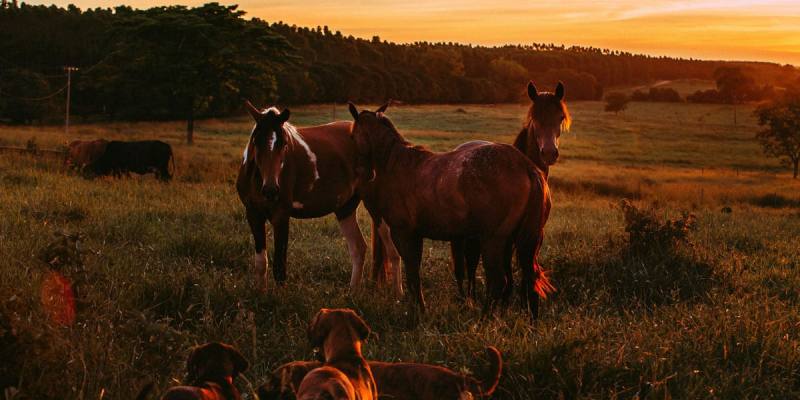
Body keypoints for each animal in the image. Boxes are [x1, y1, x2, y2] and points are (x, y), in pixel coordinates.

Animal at [236, 101, 370, 292]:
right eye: (256, 141)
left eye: (284, 143)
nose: (271, 190)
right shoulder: (253, 214)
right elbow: (261, 263)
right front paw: (260, 294)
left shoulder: (281, 216)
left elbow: (279, 267)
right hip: (345, 208)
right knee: (358, 248)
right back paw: (352, 292)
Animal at [350, 102, 556, 318]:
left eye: (353, 136)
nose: (363, 173)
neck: (397, 164)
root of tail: (526, 166)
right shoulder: (415, 235)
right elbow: (415, 271)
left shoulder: (404, 234)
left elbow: (413, 273)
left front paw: (418, 310)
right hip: (521, 241)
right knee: (528, 278)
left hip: (493, 240)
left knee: (499, 281)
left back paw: (484, 318)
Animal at [454, 80, 572, 300]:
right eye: (534, 117)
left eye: (560, 117)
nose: (549, 152)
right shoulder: (506, 239)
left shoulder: (535, 235)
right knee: (470, 264)